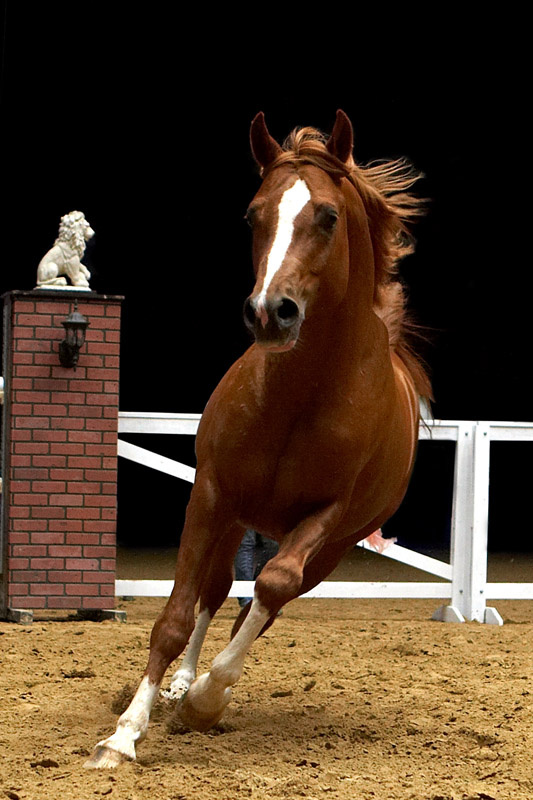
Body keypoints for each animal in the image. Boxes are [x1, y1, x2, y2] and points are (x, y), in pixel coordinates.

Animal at [85, 109, 431, 768]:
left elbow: (271, 589)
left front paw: (206, 701)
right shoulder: (212, 495)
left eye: (329, 215)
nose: (272, 312)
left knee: (267, 602)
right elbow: (176, 617)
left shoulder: (328, 517)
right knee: (214, 593)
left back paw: (201, 691)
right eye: (253, 215)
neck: (300, 395)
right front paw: (123, 734)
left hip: (326, 550)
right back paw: (178, 684)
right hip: (237, 520)